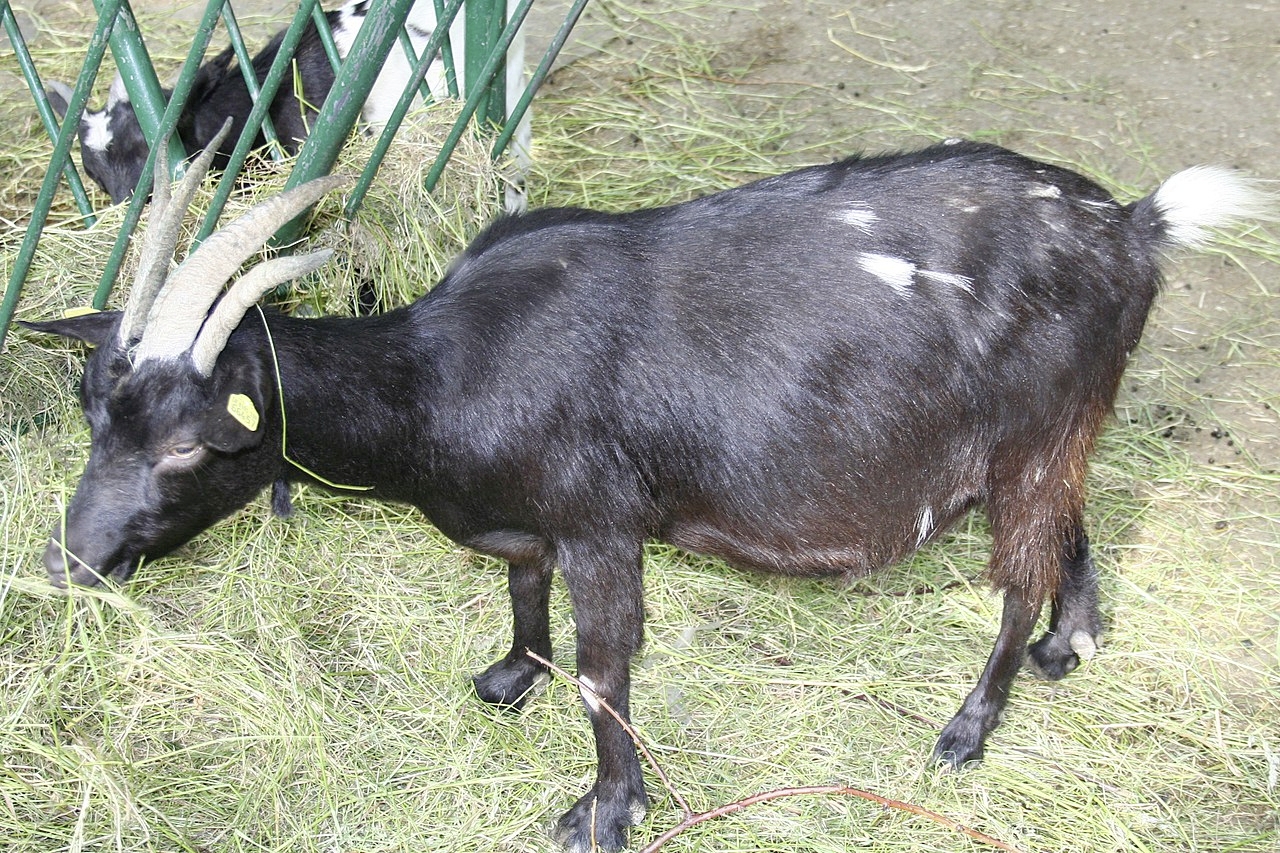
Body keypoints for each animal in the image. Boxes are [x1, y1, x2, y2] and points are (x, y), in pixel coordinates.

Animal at [22, 136, 1269, 845]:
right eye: (93, 415)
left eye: (188, 450)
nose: (64, 564)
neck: (439, 375)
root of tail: (1132, 225)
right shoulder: (530, 525)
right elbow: (520, 597)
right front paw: (507, 675)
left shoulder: (600, 522)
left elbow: (602, 669)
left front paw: (603, 811)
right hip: (1058, 429)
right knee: (1071, 524)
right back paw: (1072, 640)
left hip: (1032, 430)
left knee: (1016, 569)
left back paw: (968, 725)